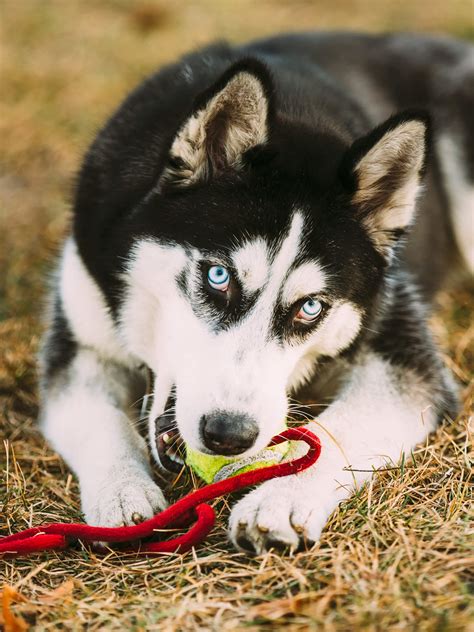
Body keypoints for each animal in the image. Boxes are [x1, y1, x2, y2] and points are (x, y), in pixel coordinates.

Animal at [39, 32, 472, 552]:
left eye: (312, 307)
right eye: (217, 276)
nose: (228, 434)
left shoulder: (404, 352)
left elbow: (339, 430)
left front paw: (278, 500)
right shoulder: (81, 342)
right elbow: (97, 419)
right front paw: (122, 493)